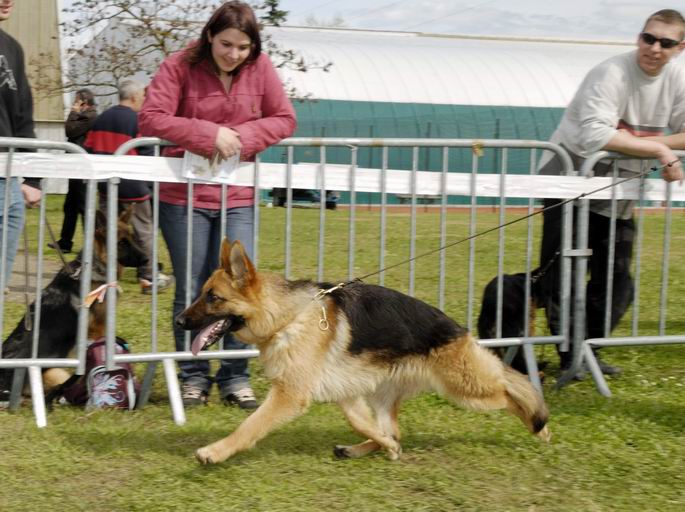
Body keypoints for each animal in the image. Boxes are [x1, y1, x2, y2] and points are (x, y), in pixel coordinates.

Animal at [0, 207, 147, 392]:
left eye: (132, 239)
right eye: (121, 243)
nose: (147, 259)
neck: (95, 267)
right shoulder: (98, 329)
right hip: (54, 371)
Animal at [175, 239, 552, 464]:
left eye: (213, 297)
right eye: (203, 293)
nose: (178, 321)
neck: (287, 316)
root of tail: (459, 330)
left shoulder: (289, 395)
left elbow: (249, 426)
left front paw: (215, 451)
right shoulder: (347, 392)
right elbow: (360, 423)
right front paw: (385, 446)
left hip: (467, 388)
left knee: (509, 389)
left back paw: (540, 425)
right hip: (384, 392)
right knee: (394, 429)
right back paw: (366, 448)